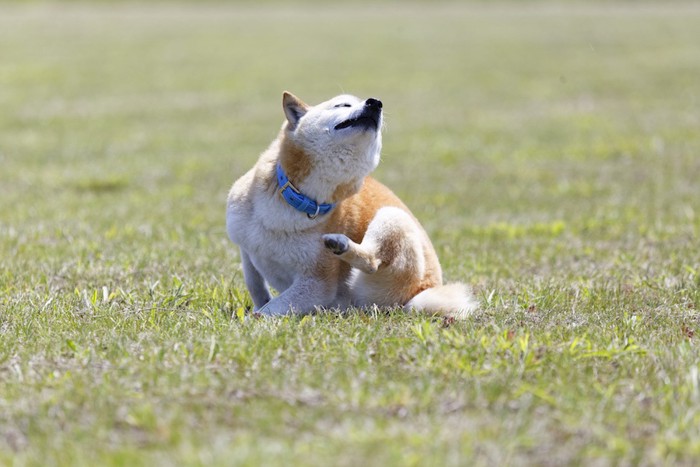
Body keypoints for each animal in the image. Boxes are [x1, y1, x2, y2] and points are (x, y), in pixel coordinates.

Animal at [227, 92, 478, 318]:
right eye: (343, 104)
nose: (375, 103)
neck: (300, 200)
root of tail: (424, 290)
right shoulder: (245, 245)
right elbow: (255, 285)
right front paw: (258, 305)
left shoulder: (317, 282)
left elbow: (271, 308)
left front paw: (252, 320)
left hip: (391, 219)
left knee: (372, 262)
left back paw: (341, 244)